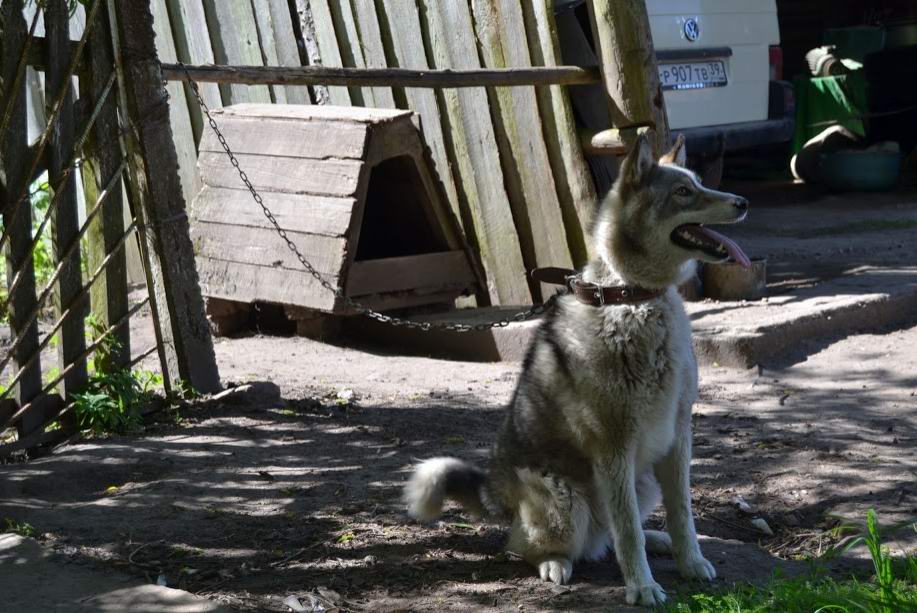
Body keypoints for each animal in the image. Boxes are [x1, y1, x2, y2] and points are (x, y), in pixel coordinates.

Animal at [404, 131, 748, 604]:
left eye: (698, 183)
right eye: (683, 192)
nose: (743, 201)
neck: (632, 297)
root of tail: (498, 492)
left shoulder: (677, 437)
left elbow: (682, 516)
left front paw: (690, 562)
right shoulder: (613, 448)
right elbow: (628, 533)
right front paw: (642, 587)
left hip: (643, 480)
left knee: (605, 540)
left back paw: (654, 540)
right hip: (565, 501)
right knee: (527, 545)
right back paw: (555, 563)